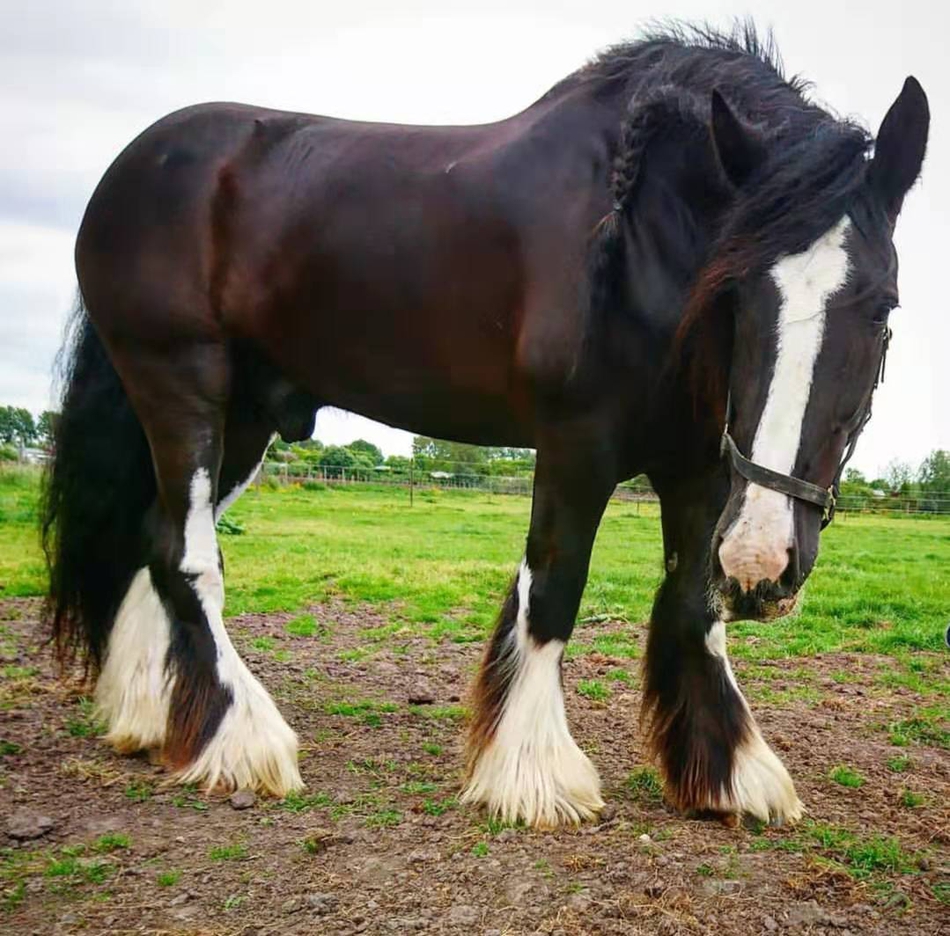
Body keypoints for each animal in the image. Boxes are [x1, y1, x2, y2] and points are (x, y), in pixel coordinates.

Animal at [42, 23, 928, 828]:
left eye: (882, 307)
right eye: (738, 294)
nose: (764, 570)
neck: (641, 232)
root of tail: (132, 167)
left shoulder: (703, 464)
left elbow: (693, 603)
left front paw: (730, 773)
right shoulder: (578, 441)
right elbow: (554, 588)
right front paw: (532, 774)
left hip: (246, 414)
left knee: (148, 539)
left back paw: (148, 719)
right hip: (179, 381)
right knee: (183, 553)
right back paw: (242, 740)